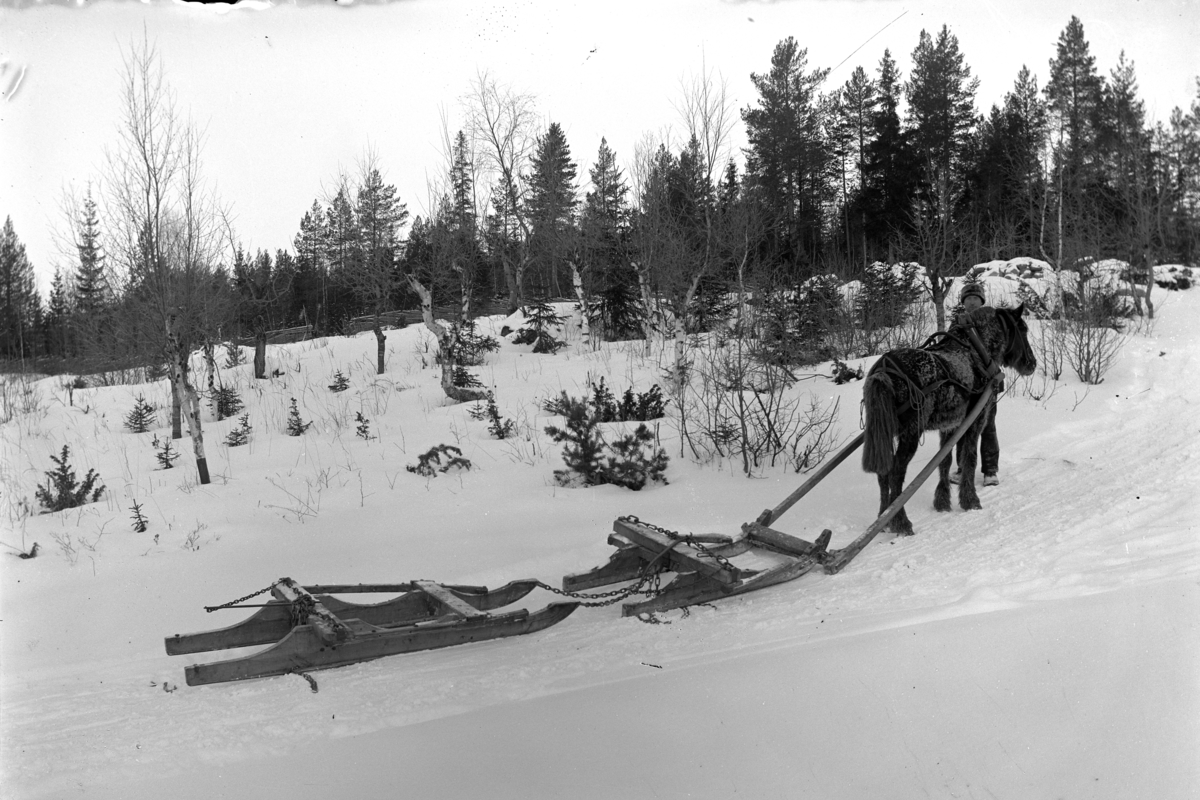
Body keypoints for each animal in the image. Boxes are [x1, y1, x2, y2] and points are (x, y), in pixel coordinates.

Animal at [859, 307, 1036, 537]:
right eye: (1023, 329)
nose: (1032, 363)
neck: (977, 353)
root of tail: (883, 370)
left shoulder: (950, 425)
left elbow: (945, 461)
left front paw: (942, 501)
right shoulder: (976, 420)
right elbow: (969, 458)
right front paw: (970, 501)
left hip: (884, 432)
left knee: (883, 474)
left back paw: (883, 519)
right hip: (911, 433)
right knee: (896, 473)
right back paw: (901, 522)